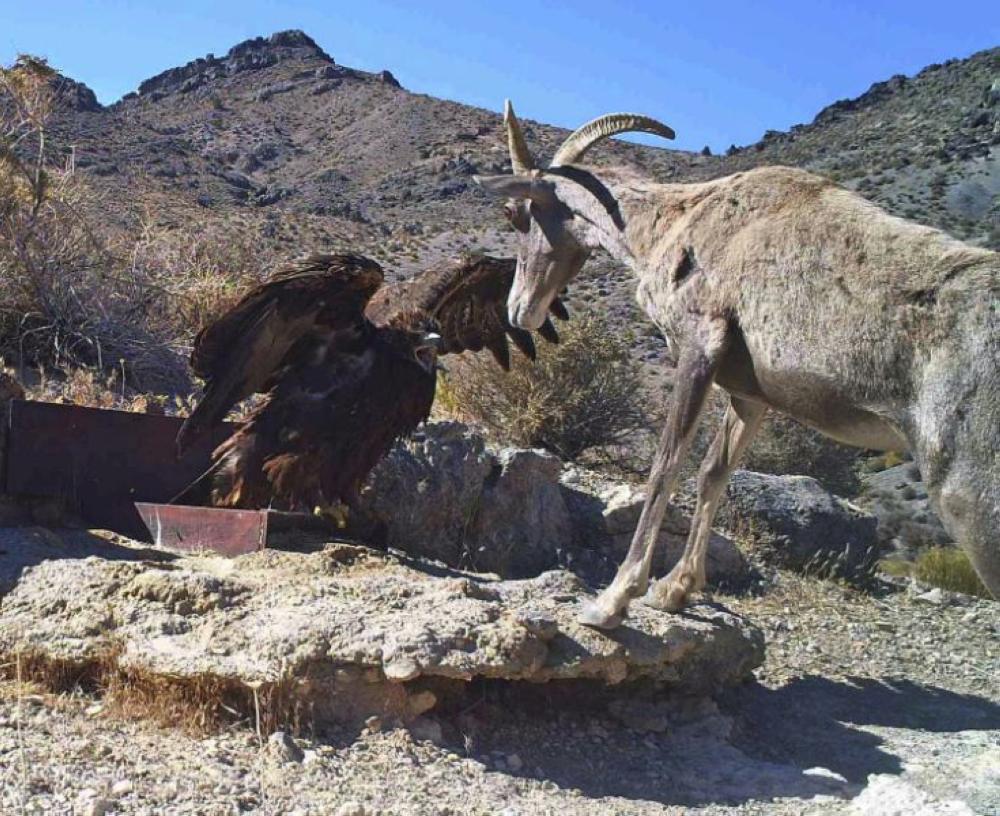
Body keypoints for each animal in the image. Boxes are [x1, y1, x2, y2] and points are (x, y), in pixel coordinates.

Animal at [476, 100, 1000, 624]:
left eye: (514, 212)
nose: (519, 309)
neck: (677, 225)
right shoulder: (749, 396)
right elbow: (714, 472)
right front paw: (674, 590)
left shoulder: (699, 347)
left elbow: (666, 465)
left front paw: (612, 599)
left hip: (971, 505)